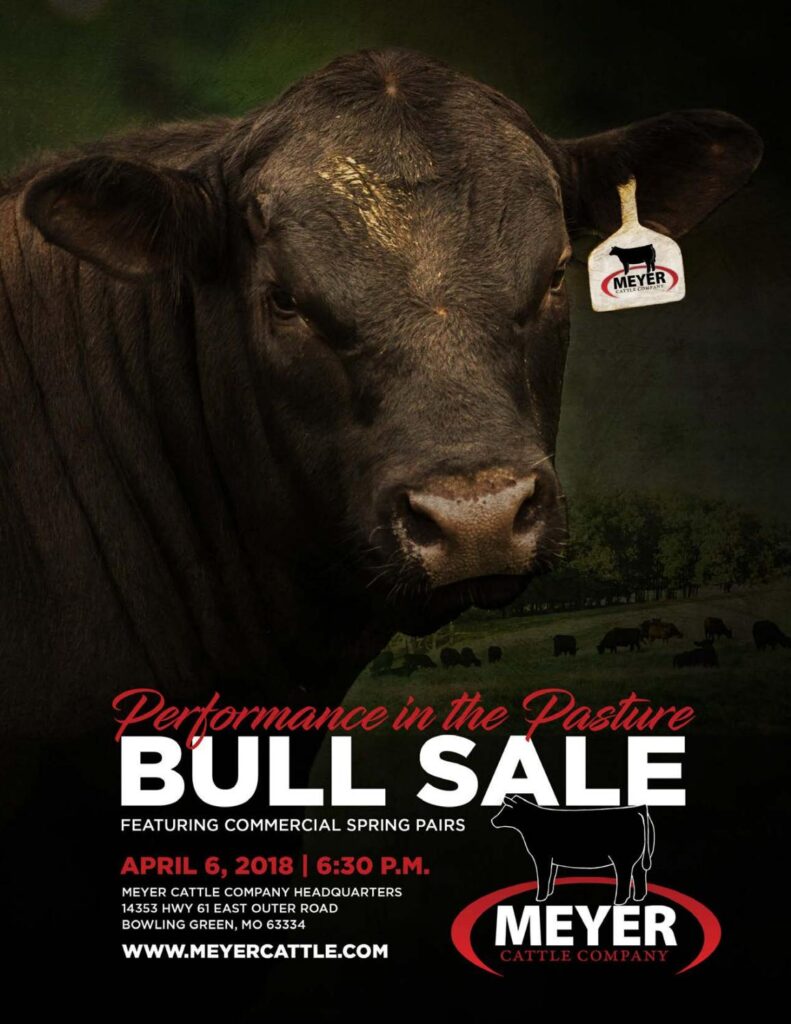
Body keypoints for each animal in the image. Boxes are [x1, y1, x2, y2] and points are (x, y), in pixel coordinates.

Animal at [491, 795, 655, 905]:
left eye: (507, 809)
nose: (493, 820)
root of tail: (637, 809)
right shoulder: (552, 860)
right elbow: (550, 877)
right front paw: (548, 894)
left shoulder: (542, 857)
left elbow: (543, 877)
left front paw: (540, 898)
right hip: (639, 859)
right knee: (639, 875)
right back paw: (638, 898)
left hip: (622, 859)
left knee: (624, 877)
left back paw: (619, 900)